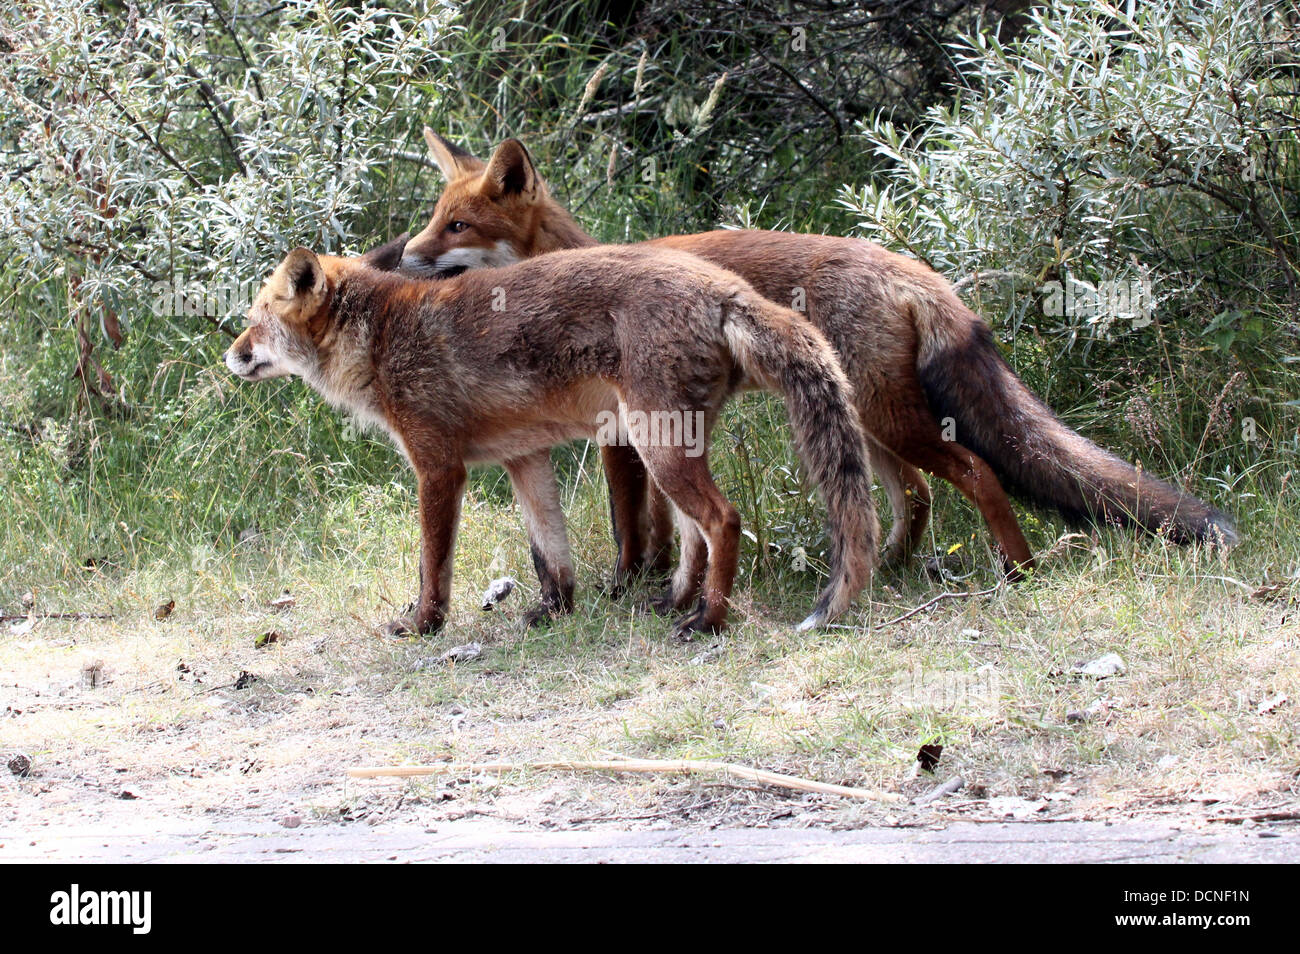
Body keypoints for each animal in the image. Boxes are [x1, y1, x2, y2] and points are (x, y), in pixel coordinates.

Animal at [223, 243, 878, 639]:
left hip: (658, 447)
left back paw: (708, 620)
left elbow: (432, 565)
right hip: (667, 450)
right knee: (696, 532)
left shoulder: (438, 468)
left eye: (254, 321)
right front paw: (554, 611)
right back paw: (675, 601)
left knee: (724, 520)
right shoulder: (524, 457)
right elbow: (548, 552)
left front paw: (424, 625)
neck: (383, 338)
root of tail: (727, 288)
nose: (229, 355)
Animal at [397, 130, 1237, 582]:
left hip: (892, 420)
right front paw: (657, 582)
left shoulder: (619, 437)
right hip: (868, 419)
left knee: (976, 473)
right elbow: (661, 524)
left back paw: (1019, 568)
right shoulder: (639, 431)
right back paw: (889, 569)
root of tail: (912, 268)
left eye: (457, 227)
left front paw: (628, 584)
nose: (402, 255)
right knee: (915, 497)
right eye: (433, 218)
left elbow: (631, 525)